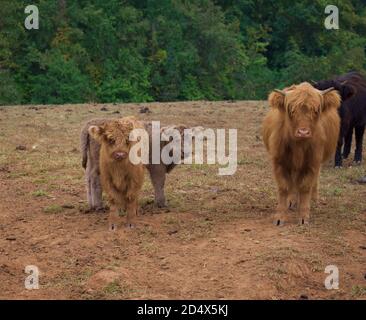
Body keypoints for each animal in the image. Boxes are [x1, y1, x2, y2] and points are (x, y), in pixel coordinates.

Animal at [264, 82, 340, 225]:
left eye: (316, 110)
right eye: (292, 110)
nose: (303, 132)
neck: (298, 146)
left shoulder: (312, 163)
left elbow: (305, 187)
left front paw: (304, 217)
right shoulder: (279, 162)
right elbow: (284, 187)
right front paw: (279, 217)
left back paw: (313, 199)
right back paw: (292, 201)